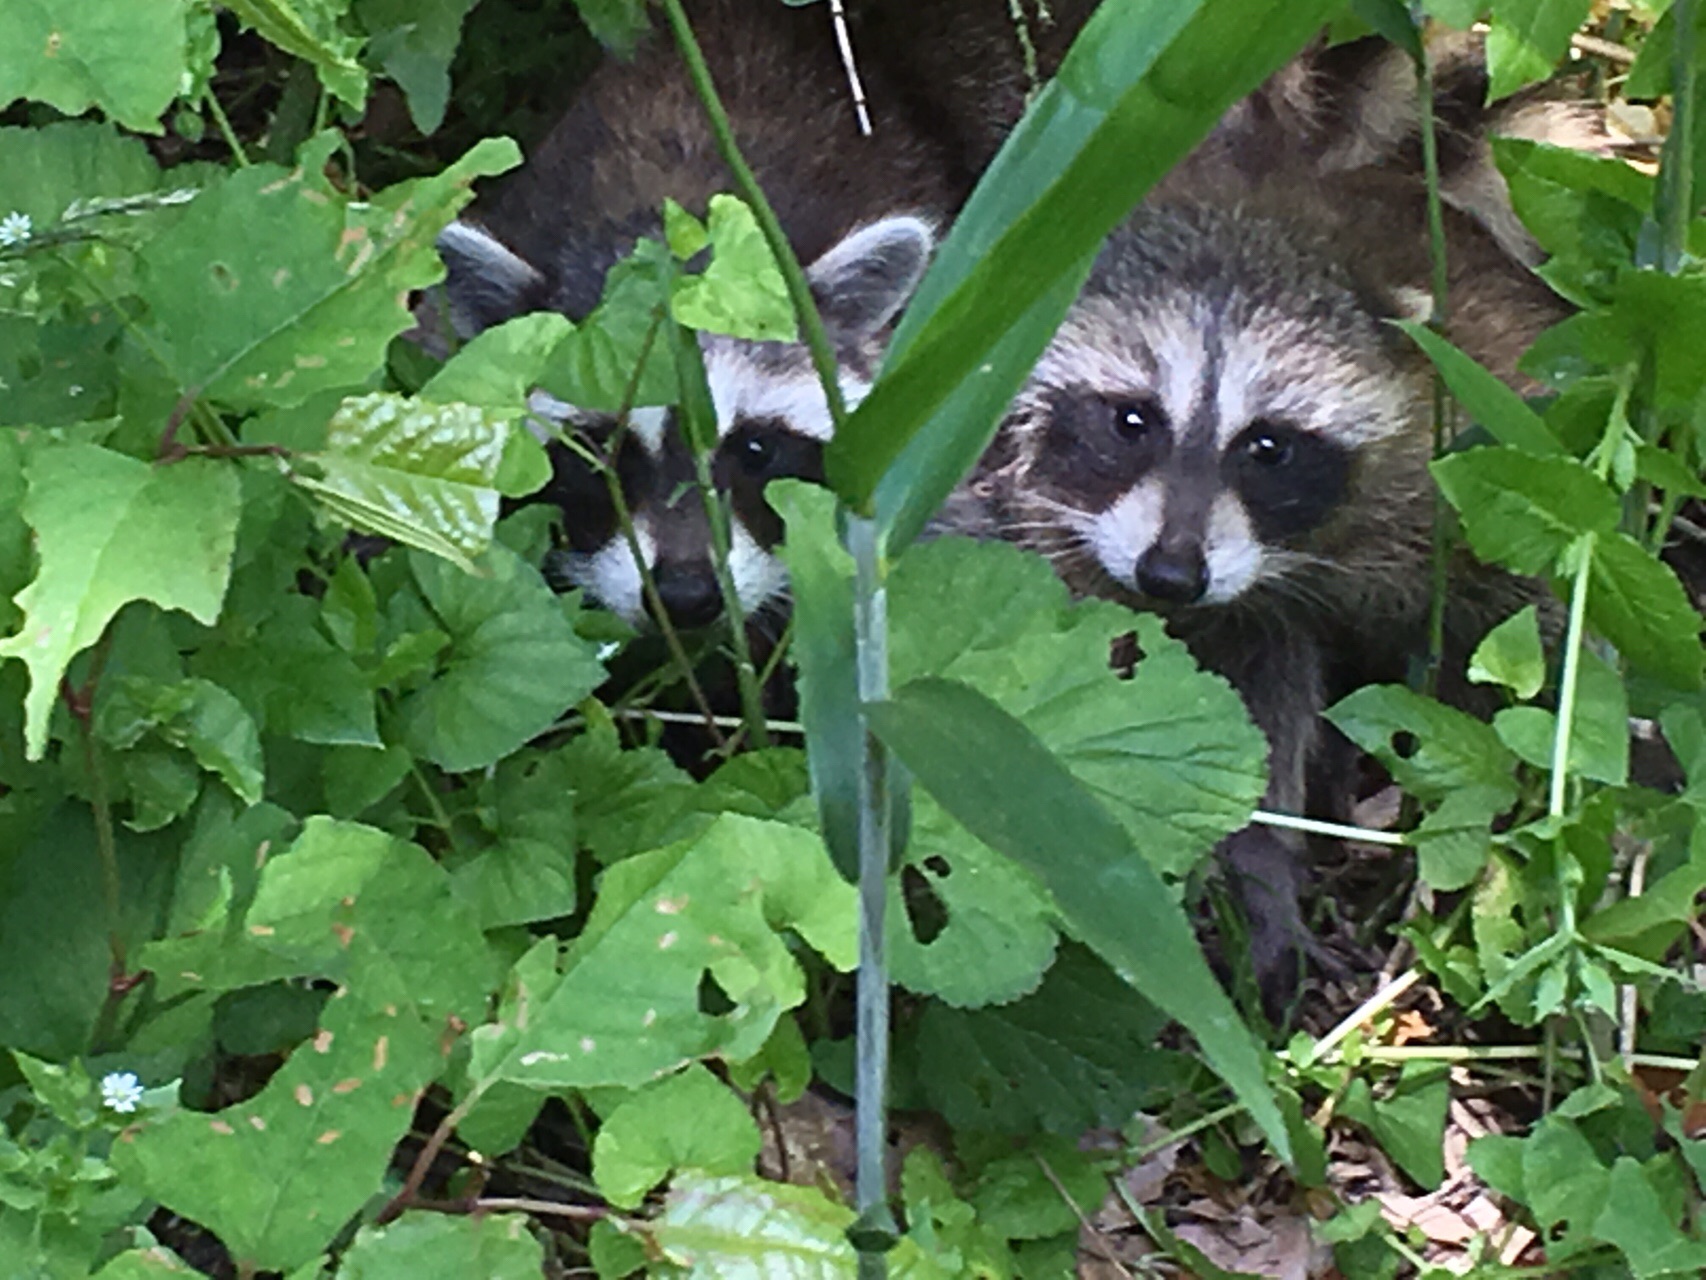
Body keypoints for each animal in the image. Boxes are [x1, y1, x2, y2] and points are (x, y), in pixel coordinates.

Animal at [961, 174, 1565, 1002]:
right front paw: (1263, 879)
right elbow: (1236, 721)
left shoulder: (1470, 467)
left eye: (1268, 446)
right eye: (1131, 420)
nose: (1171, 574)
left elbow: (1531, 645)